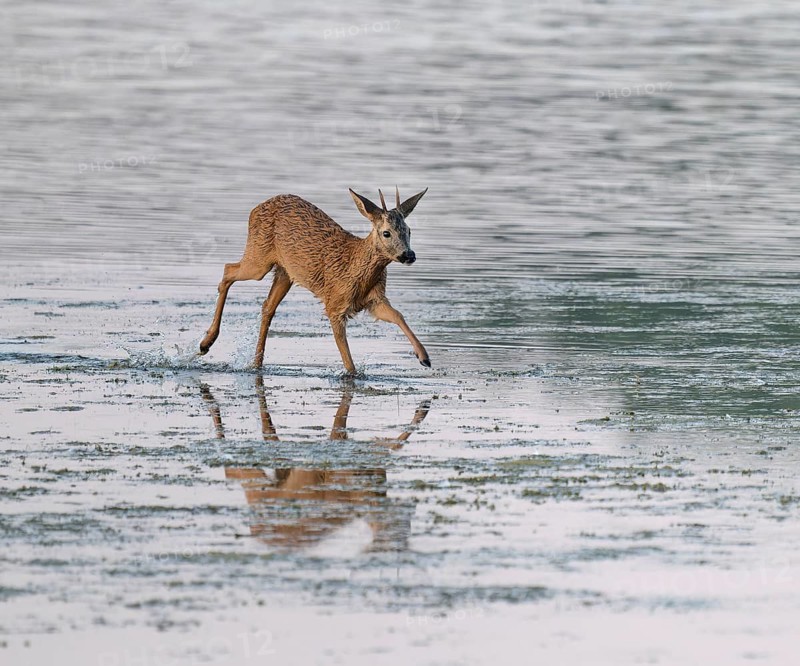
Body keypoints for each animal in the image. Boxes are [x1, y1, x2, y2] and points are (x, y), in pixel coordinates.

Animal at [199, 187, 431, 374]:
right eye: (386, 233)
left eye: (409, 230)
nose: (409, 255)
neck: (355, 269)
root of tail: (256, 208)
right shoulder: (334, 304)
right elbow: (348, 363)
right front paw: (353, 374)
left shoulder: (374, 300)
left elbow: (398, 315)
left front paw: (424, 357)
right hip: (259, 259)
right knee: (228, 270)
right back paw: (206, 343)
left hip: (284, 273)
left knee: (267, 306)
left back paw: (254, 362)